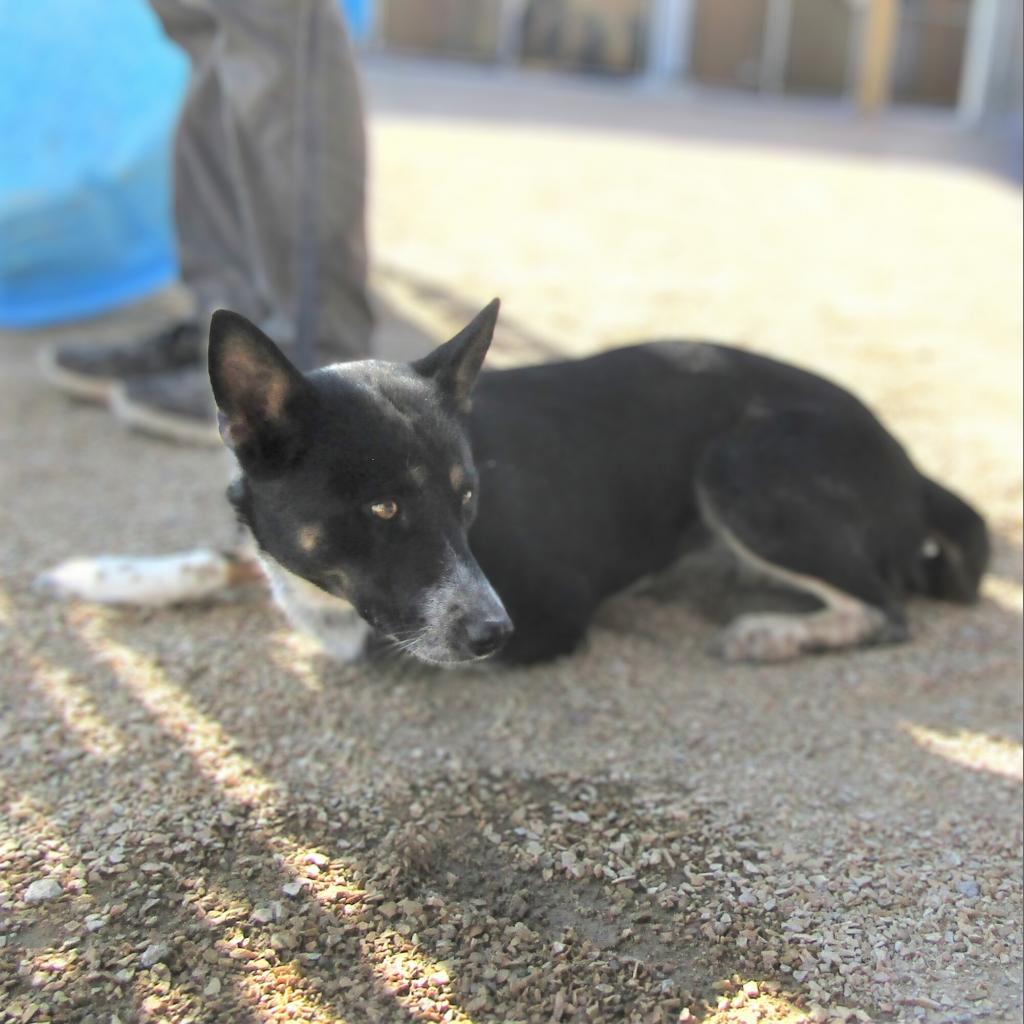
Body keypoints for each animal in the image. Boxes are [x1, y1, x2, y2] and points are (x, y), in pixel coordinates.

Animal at [205, 296, 983, 667]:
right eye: (384, 507)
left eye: (467, 498)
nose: (494, 631)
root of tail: (911, 466)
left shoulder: (554, 613)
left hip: (739, 467)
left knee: (886, 609)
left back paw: (769, 635)